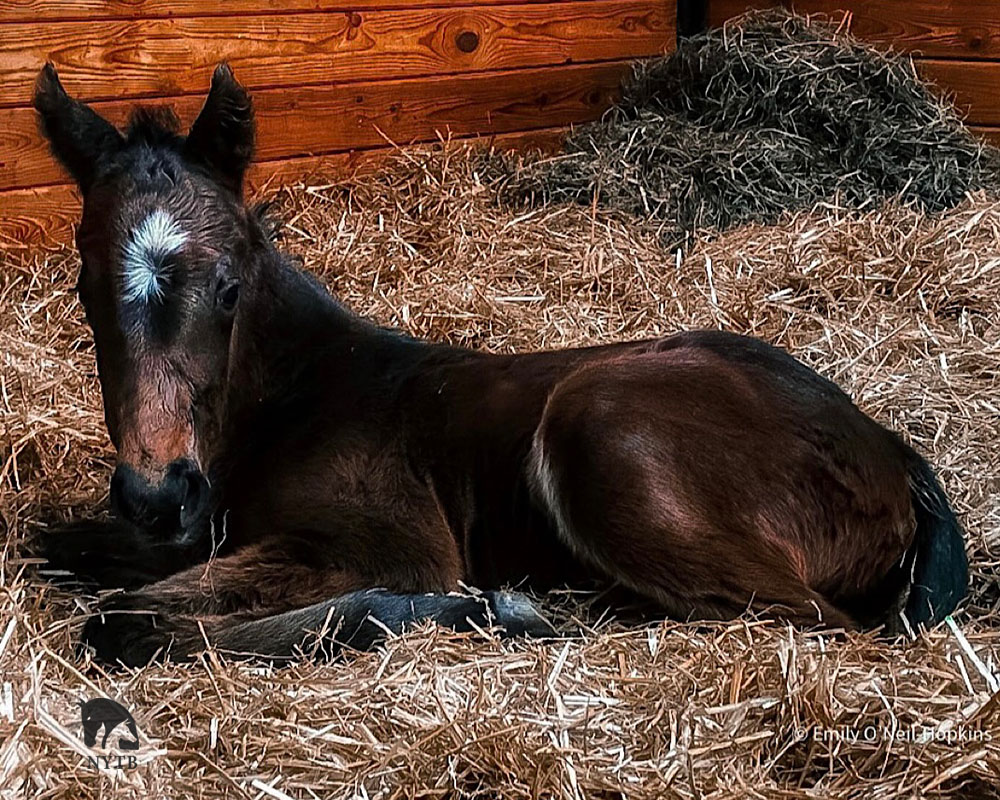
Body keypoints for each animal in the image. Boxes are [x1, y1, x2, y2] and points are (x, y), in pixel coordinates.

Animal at [35, 62, 964, 664]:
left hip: (601, 423)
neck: (294, 400)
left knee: (810, 621)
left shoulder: (386, 543)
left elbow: (126, 624)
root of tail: (892, 451)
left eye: (228, 289)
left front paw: (442, 609)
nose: (157, 493)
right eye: (83, 287)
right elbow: (62, 543)